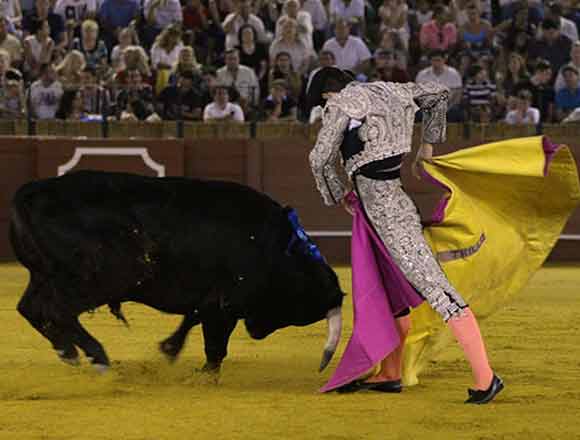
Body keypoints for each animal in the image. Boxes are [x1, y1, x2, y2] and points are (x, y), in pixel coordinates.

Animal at [10, 170, 344, 375]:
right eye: (299, 304)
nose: (257, 331)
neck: (277, 248)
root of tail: (32, 191)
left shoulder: (221, 305)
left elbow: (209, 339)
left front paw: (190, 365)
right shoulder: (227, 301)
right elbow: (207, 334)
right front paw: (177, 355)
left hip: (43, 276)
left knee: (32, 308)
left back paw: (68, 352)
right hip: (101, 277)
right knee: (58, 310)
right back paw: (99, 358)